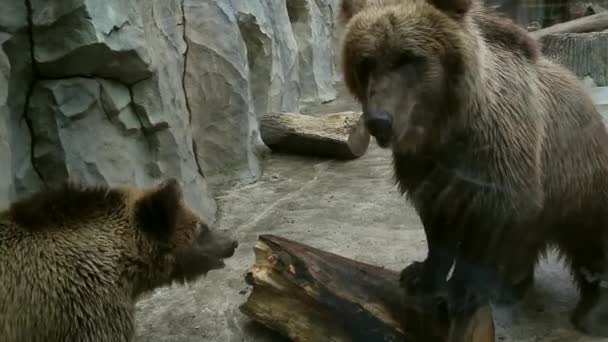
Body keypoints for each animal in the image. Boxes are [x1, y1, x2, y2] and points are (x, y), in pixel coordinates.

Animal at [340, 0, 608, 336]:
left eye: (409, 57)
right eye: (365, 62)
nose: (379, 121)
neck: (445, 127)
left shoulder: (495, 160)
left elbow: (486, 228)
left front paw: (463, 291)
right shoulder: (426, 167)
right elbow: (436, 225)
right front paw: (420, 275)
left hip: (580, 181)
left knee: (591, 242)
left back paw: (591, 312)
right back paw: (512, 286)